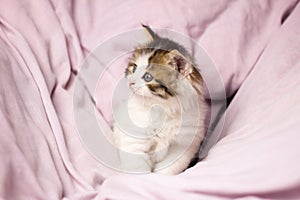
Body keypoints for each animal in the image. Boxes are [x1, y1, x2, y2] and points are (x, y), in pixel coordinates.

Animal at [112, 25, 209, 175]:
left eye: (148, 77)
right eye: (134, 68)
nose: (131, 82)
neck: (162, 108)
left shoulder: (183, 146)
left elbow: (167, 170)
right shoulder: (134, 140)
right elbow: (138, 168)